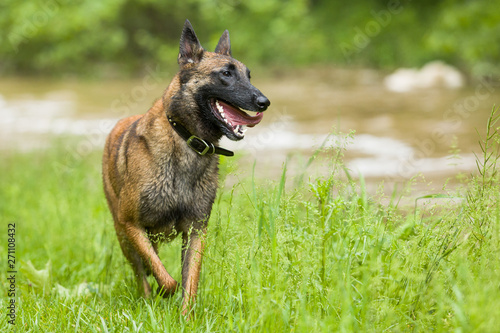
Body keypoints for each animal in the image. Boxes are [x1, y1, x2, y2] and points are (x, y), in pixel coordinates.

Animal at [102, 19, 270, 316]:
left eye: (249, 75)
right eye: (226, 74)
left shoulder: (196, 231)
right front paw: (163, 291)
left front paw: (186, 317)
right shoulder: (132, 224)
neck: (187, 140)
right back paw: (148, 298)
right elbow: (166, 279)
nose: (264, 102)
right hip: (122, 235)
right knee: (141, 272)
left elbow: (190, 279)